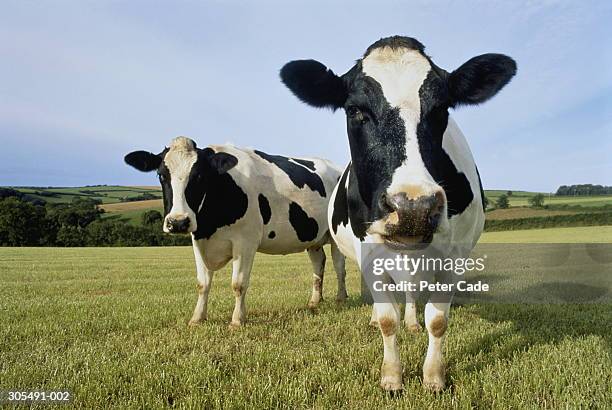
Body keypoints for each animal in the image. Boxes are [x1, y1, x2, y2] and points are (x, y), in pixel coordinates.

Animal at [123, 137, 350, 326]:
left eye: (199, 176)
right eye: (161, 175)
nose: (178, 222)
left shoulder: (246, 241)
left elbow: (238, 284)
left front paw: (237, 320)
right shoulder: (198, 240)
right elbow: (202, 284)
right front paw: (197, 318)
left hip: (335, 236)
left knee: (339, 266)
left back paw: (341, 298)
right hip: (313, 237)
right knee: (318, 264)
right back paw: (314, 301)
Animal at [282, 36, 516, 392]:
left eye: (442, 109)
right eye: (355, 110)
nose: (413, 208)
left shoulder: (456, 254)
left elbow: (437, 319)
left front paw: (434, 376)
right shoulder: (369, 252)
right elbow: (387, 319)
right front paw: (392, 377)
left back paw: (413, 322)